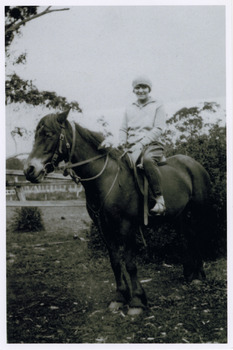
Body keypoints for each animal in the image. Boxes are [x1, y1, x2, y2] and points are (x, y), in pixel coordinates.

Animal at [24, 109, 211, 314]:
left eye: (49, 134)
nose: (29, 170)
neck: (106, 179)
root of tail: (194, 164)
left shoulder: (126, 227)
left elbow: (130, 264)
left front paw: (136, 301)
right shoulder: (104, 228)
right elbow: (115, 262)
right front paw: (120, 298)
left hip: (197, 211)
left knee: (197, 236)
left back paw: (198, 276)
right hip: (180, 215)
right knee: (187, 237)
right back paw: (190, 274)